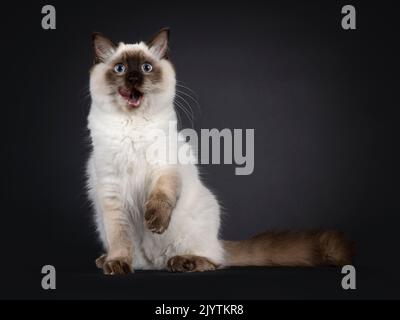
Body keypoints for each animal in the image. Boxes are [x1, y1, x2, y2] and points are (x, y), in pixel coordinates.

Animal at [85, 27, 354, 274]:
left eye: (146, 68)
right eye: (120, 69)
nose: (133, 79)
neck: (133, 125)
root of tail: (154, 263)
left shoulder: (165, 169)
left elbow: (161, 197)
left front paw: (154, 221)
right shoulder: (111, 191)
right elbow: (120, 237)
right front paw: (117, 264)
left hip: (201, 217)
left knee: (215, 260)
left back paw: (184, 262)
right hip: (104, 223)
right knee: (145, 258)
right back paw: (106, 260)